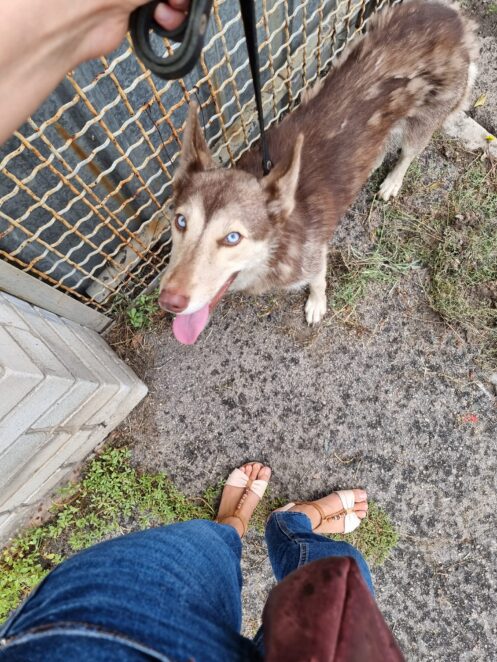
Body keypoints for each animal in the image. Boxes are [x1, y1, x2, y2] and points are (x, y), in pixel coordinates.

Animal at [159, 1, 476, 348]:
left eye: (232, 238)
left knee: (408, 153)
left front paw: (316, 303)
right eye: (180, 221)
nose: (170, 301)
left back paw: (393, 181)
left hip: (427, 118)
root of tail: (451, 15)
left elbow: (319, 280)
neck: (278, 245)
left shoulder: (314, 254)